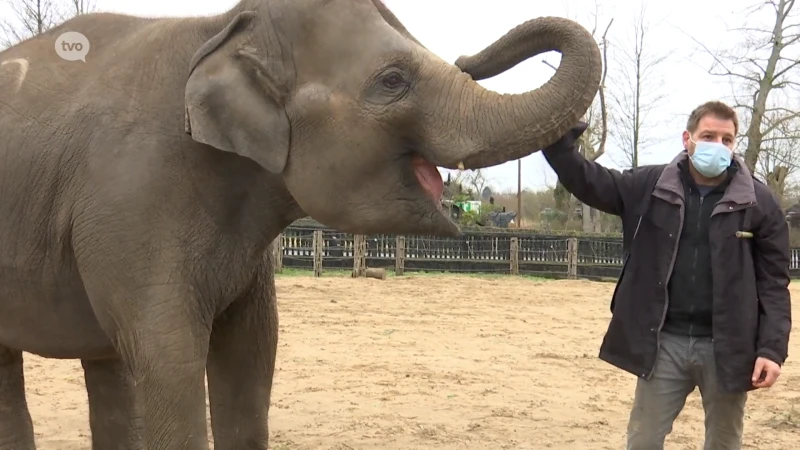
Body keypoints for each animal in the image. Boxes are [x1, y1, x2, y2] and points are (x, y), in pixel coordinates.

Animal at [0, 0, 600, 448]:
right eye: (393, 80)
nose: (467, 52)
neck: (221, 28)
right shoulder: (131, 200)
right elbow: (168, 359)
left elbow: (252, 357)